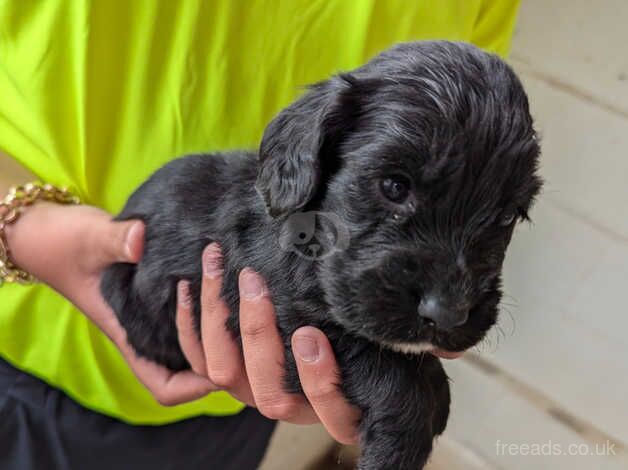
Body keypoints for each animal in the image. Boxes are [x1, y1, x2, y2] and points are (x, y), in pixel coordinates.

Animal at [102, 42, 540, 468]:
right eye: (394, 186)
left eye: (506, 215)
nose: (447, 313)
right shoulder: (281, 314)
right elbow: (379, 360)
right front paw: (402, 441)